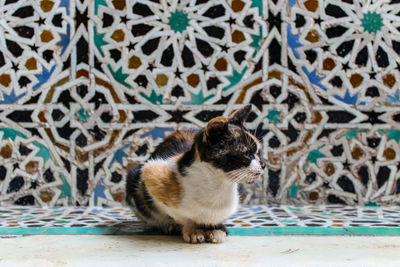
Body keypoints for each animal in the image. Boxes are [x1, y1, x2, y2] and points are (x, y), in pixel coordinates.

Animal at [126, 105, 266, 244]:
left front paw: (216, 229)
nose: (264, 164)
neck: (218, 185)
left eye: (258, 152)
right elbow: (183, 217)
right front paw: (193, 230)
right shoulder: (151, 171)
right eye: (247, 153)